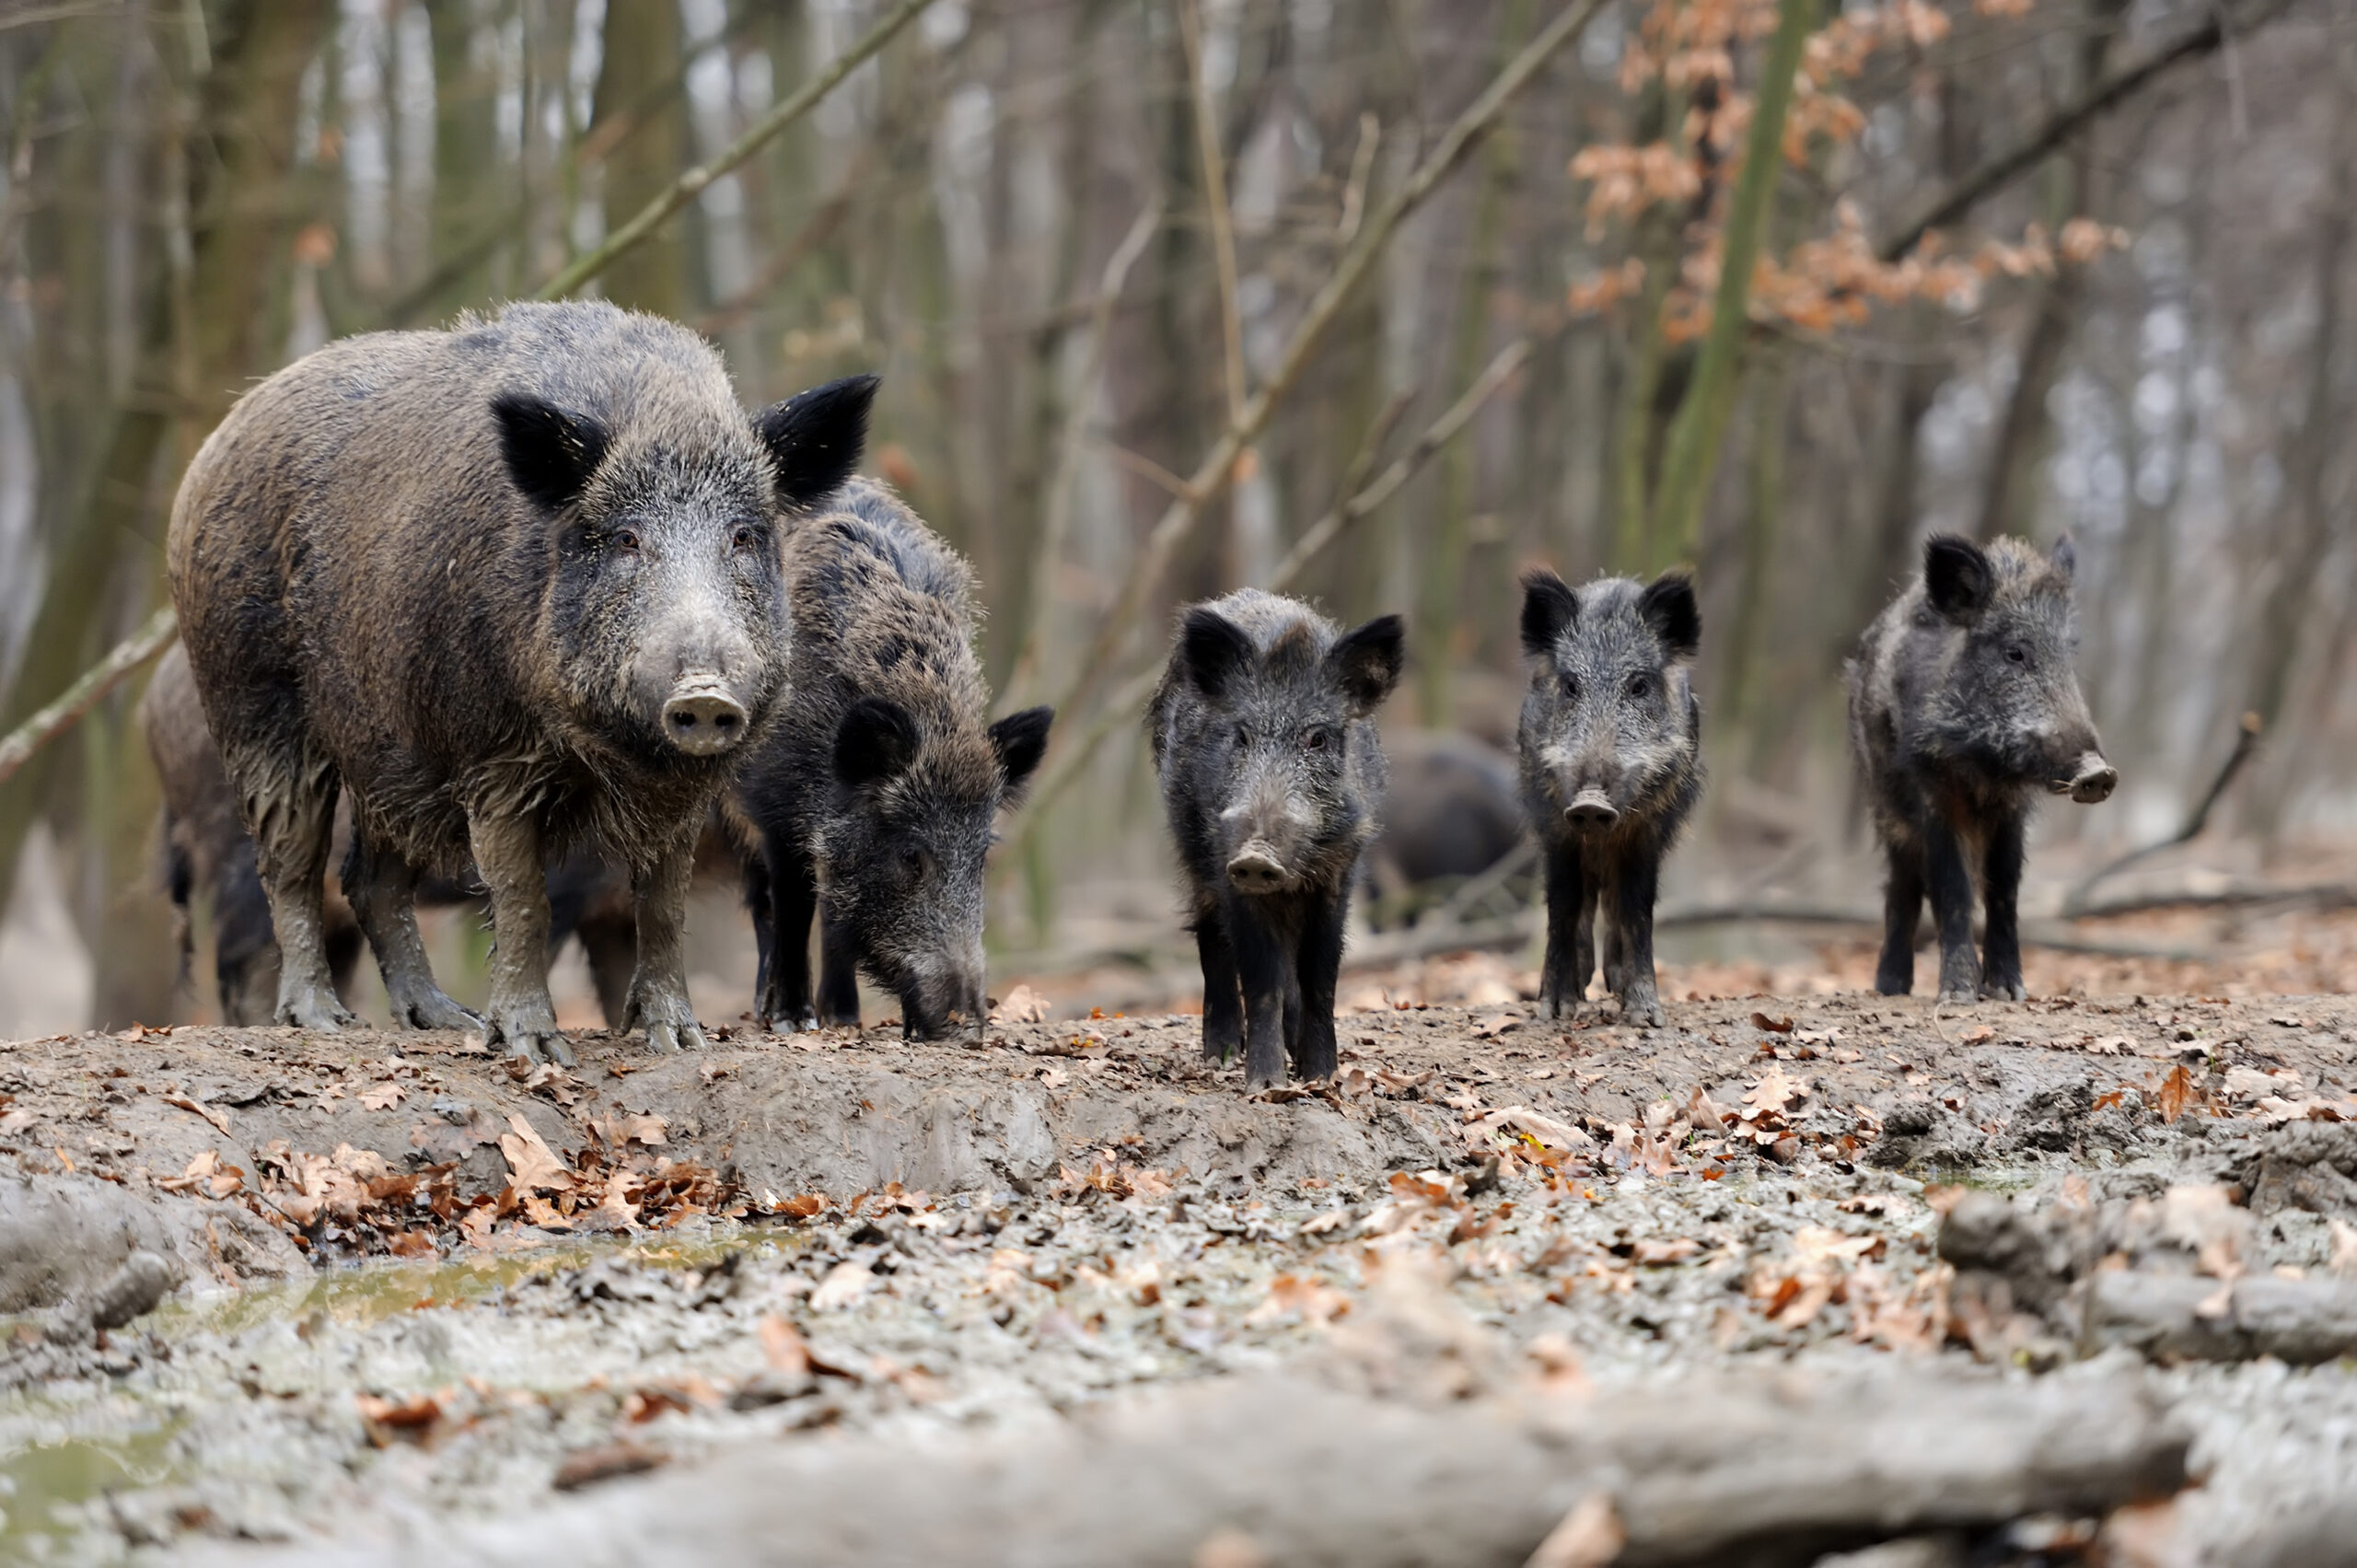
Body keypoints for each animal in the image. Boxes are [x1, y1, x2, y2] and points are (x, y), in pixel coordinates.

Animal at [167, 299, 874, 1062]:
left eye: (743, 536)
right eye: (625, 538)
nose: (705, 693)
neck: (612, 749)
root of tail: (217, 441)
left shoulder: (683, 788)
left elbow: (662, 901)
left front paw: (678, 1040)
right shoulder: (491, 756)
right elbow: (520, 895)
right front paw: (535, 1047)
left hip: (390, 749)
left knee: (371, 879)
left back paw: (445, 1019)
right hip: (252, 700)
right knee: (290, 861)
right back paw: (323, 1018)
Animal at [729, 479, 1052, 1039]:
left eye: (982, 856)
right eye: (910, 855)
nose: (969, 1023)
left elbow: (833, 911)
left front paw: (849, 1020)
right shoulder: (774, 806)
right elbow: (794, 905)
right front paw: (794, 1021)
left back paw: (841, 1016)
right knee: (763, 899)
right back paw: (772, 1012)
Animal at [1150, 590, 1404, 1087]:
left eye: (1318, 739)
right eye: (1242, 735)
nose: (1257, 855)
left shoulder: (1340, 869)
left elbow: (1320, 973)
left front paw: (1320, 1077)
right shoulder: (1227, 865)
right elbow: (1261, 974)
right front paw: (1266, 1084)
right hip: (1192, 846)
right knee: (1211, 935)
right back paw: (1221, 1056)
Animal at [1516, 568, 1703, 1028]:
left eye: (1638, 686)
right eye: (1570, 686)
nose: (1590, 803)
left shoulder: (1649, 829)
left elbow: (1637, 907)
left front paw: (1646, 1016)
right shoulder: (1554, 823)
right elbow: (1563, 904)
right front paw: (1554, 1011)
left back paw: (1614, 985)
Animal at [1848, 534, 2117, 1003]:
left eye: (2070, 653)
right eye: (2015, 652)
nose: (2098, 772)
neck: (1983, 768)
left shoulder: (2012, 808)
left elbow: (2004, 887)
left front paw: (2009, 992)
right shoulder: (1932, 791)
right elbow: (1952, 887)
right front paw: (1958, 995)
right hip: (1886, 808)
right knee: (1904, 885)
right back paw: (1891, 988)